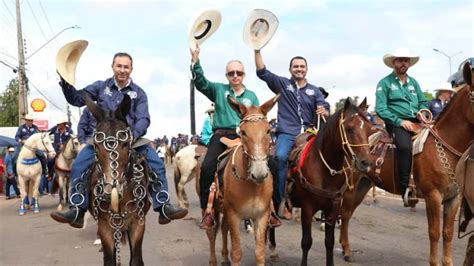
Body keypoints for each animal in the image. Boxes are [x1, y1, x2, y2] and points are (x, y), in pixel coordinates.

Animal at [85, 94, 150, 264]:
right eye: (96, 145)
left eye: (126, 143)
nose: (111, 189)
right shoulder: (104, 226)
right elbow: (109, 260)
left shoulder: (138, 223)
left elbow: (136, 260)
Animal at [206, 94, 280, 266]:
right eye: (244, 132)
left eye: (268, 130)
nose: (259, 173)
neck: (252, 186)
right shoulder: (234, 215)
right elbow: (237, 253)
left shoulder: (261, 216)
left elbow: (259, 253)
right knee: (212, 232)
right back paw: (213, 260)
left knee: (223, 228)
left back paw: (224, 257)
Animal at [284, 98, 372, 264]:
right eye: (349, 129)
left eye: (369, 130)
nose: (366, 163)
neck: (326, 171)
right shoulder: (307, 208)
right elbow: (306, 242)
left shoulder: (334, 208)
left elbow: (329, 242)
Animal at [338, 61, 474, 264]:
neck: (445, 149)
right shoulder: (433, 196)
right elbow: (434, 232)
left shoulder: (454, 198)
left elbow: (448, 233)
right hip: (351, 184)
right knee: (345, 212)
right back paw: (346, 250)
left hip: (364, 184)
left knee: (347, 213)